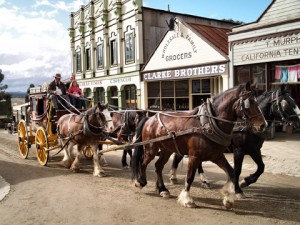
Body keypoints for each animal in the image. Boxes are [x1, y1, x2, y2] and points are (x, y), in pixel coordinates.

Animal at [132, 81, 268, 208]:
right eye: (249, 102)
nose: (263, 125)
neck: (208, 123)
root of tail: (150, 118)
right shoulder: (195, 156)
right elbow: (189, 177)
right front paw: (187, 199)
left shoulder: (218, 156)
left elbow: (232, 172)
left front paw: (228, 198)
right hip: (151, 148)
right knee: (143, 163)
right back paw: (140, 182)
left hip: (167, 150)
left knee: (158, 166)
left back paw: (163, 189)